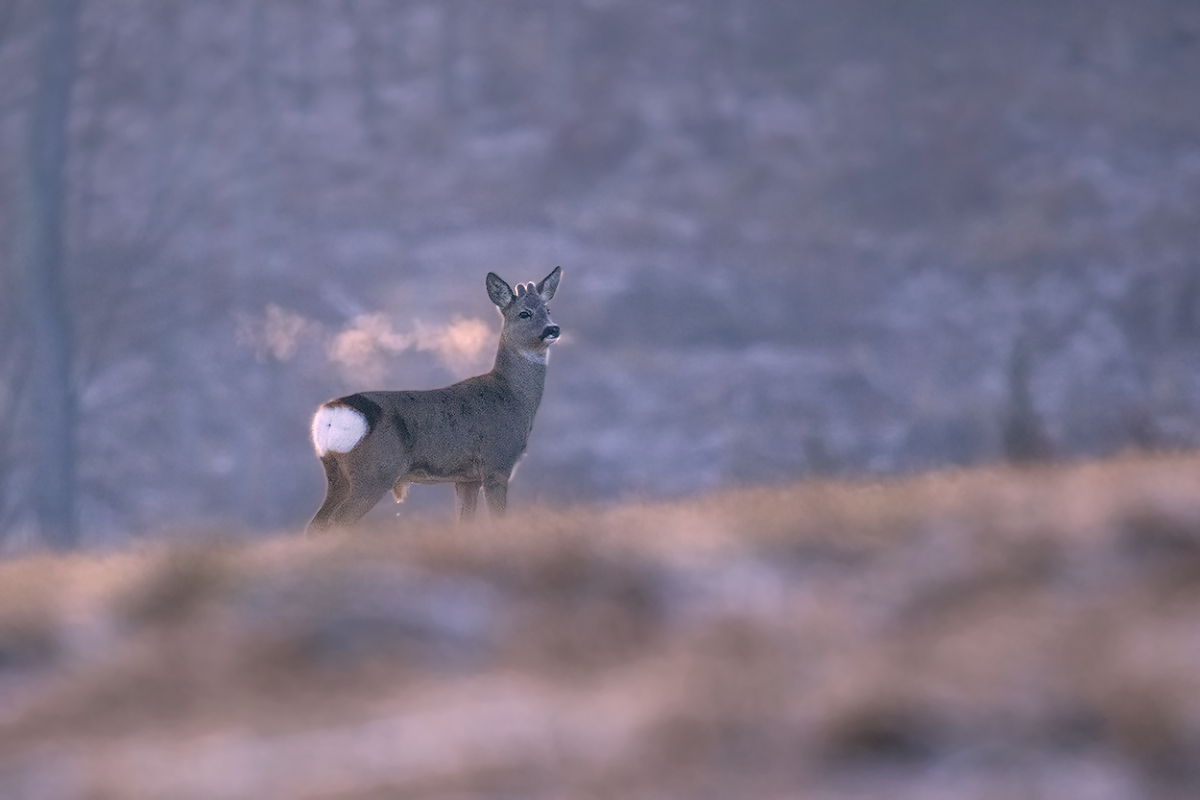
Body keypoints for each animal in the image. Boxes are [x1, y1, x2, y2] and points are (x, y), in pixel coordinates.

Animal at [304, 266, 556, 534]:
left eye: (548, 310)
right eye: (524, 313)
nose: (552, 329)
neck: (513, 398)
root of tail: (332, 414)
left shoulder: (467, 478)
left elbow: (464, 522)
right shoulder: (496, 464)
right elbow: (498, 519)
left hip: (337, 474)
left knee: (317, 524)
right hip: (374, 473)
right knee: (337, 521)